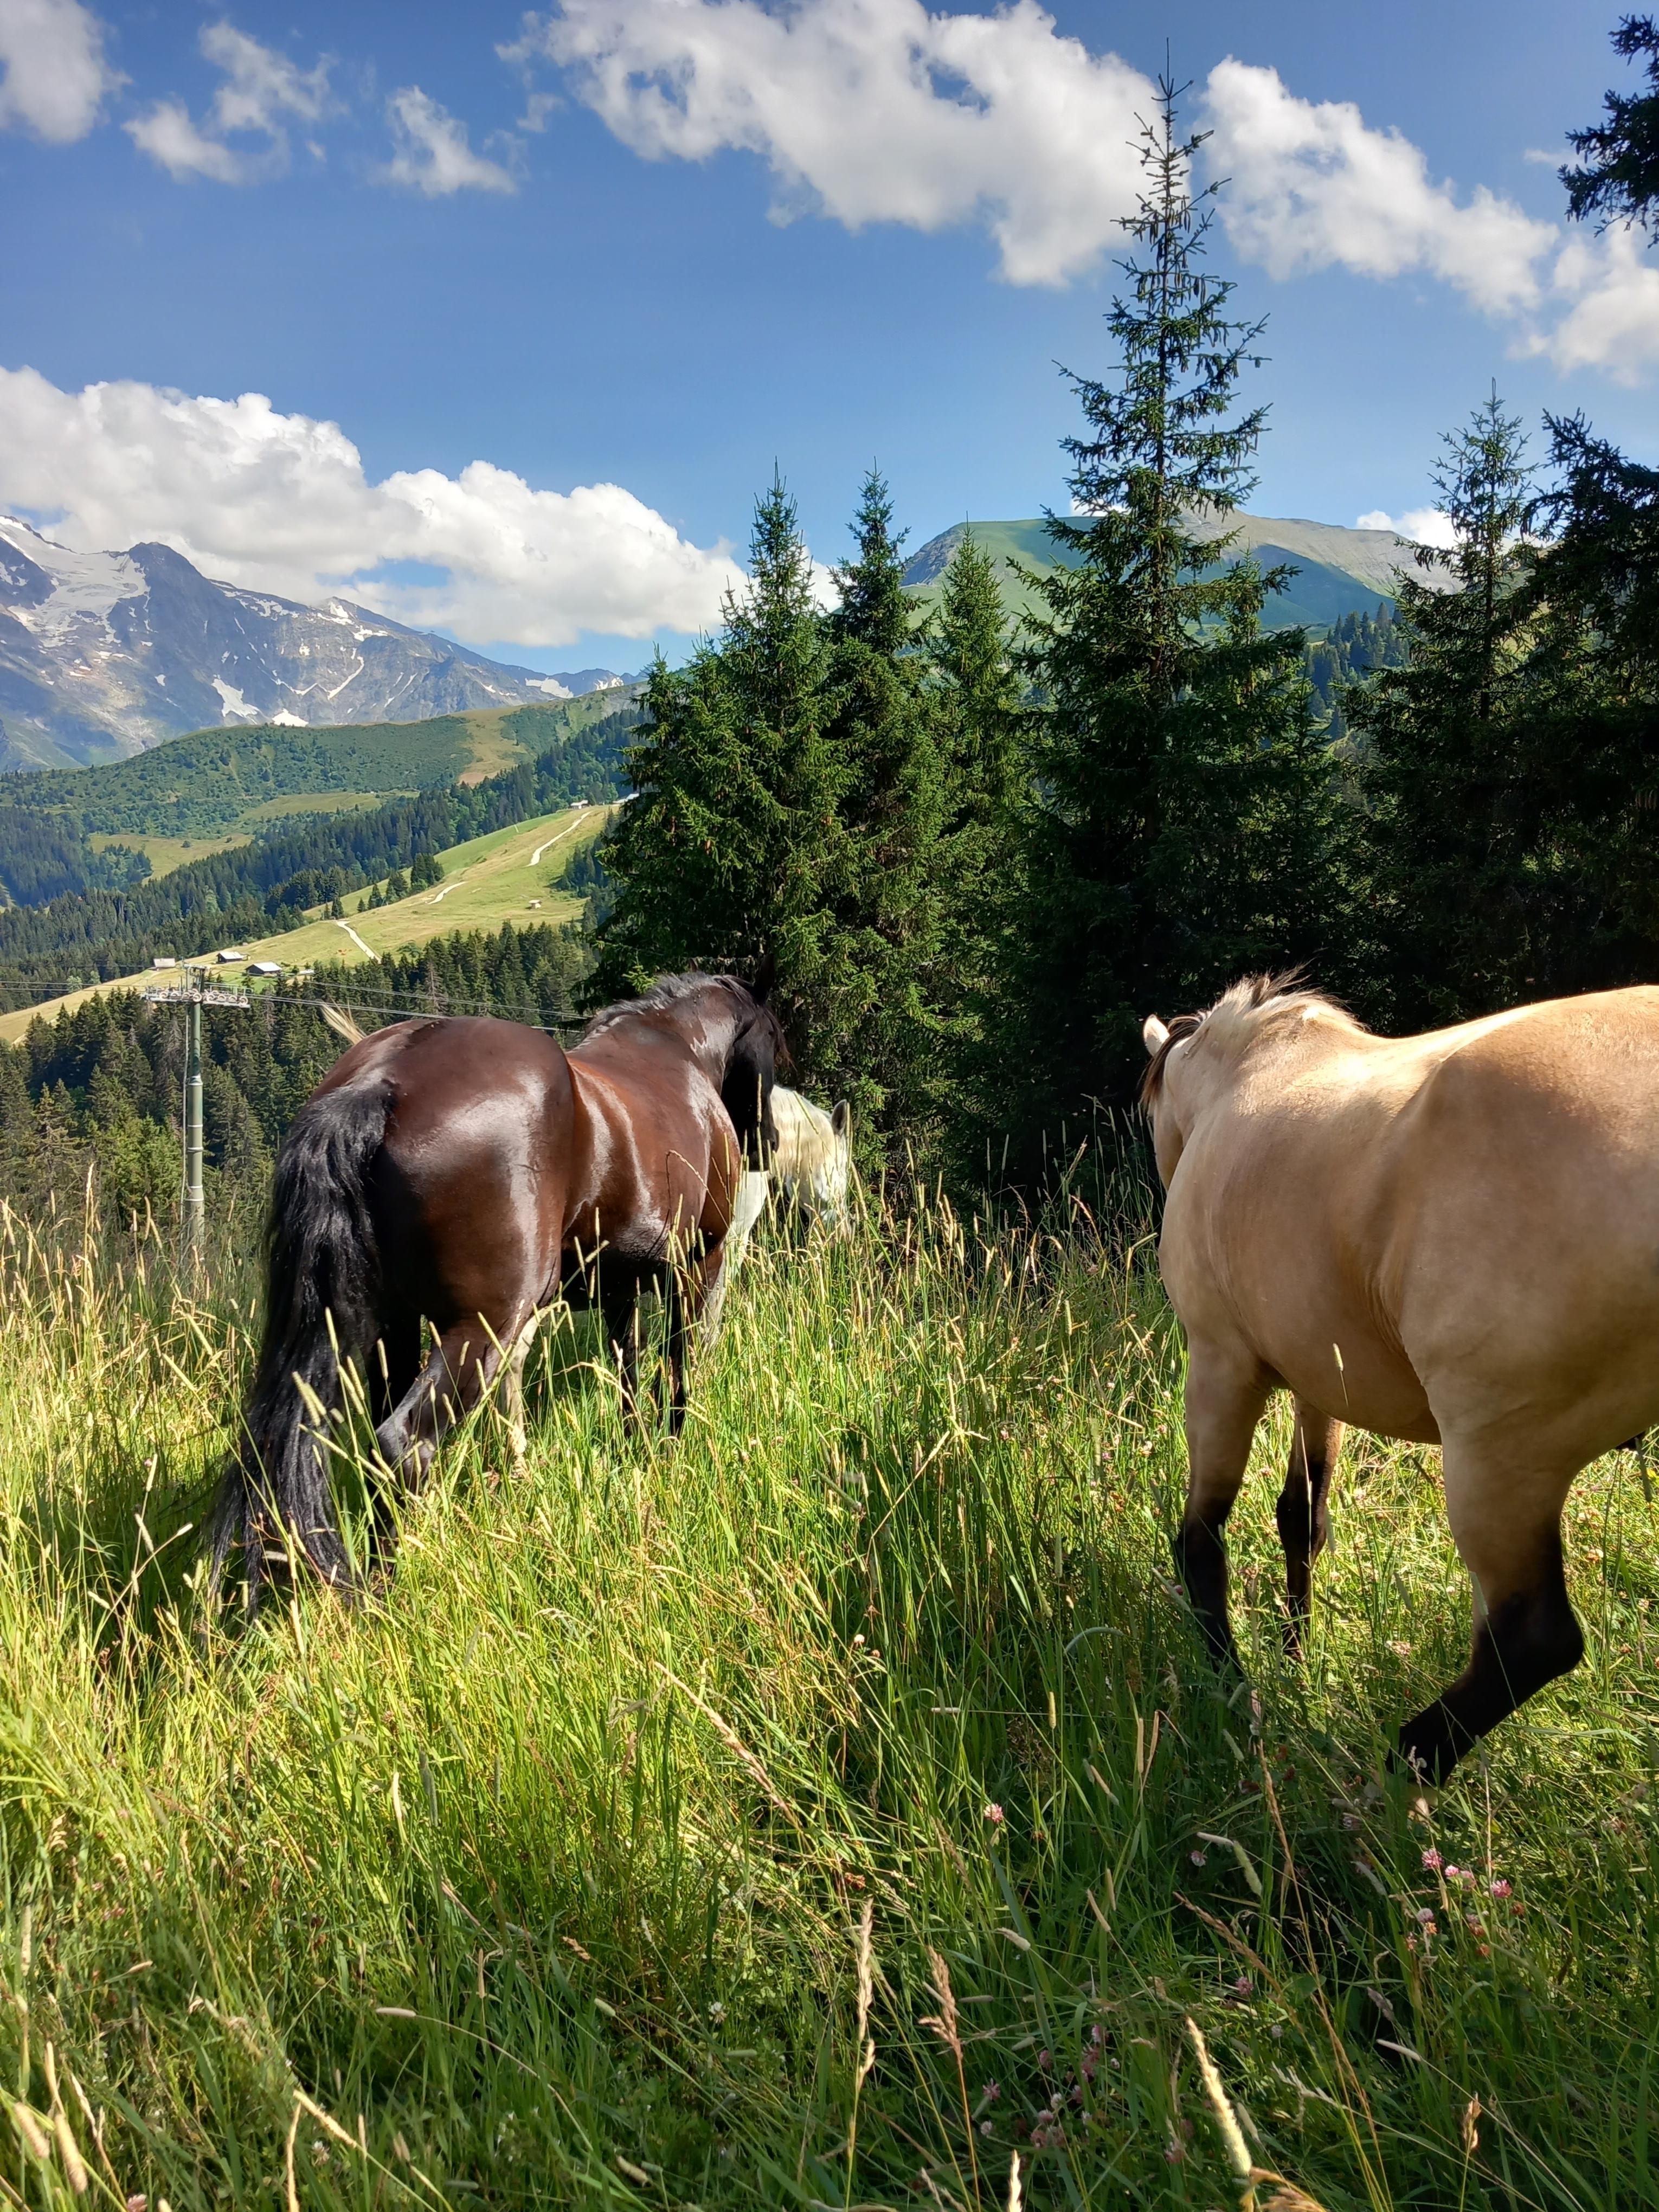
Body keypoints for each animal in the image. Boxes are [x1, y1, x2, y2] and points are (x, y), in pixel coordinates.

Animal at [211, 969, 783, 1610]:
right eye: (773, 1042)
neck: (675, 1050)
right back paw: (396, 1584)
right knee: (404, 1444)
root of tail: (380, 1082)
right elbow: (679, 1365)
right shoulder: (697, 1264)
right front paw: (670, 1447)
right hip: (483, 1327)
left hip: (395, 1329)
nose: (769, 1142)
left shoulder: (618, 1287)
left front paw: (634, 1447)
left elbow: (629, 1373)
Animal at [1150, 978, 1659, 1787]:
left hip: (1499, 1462)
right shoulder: (1319, 1384)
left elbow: (1201, 1540)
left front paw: (1234, 1689)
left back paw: (1398, 1770)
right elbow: (1302, 1518)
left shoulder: (1221, 1366)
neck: (1250, 1074)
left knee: (1532, 1640)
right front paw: (1295, 1658)